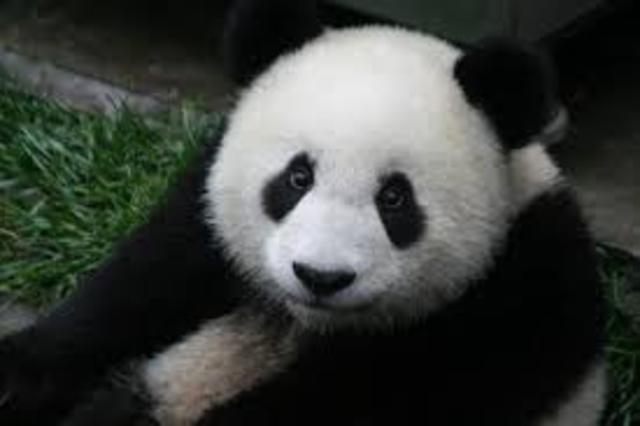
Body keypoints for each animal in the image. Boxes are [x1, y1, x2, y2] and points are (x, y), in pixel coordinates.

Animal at [0, 0, 605, 425]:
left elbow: (353, 401)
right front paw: (17, 377)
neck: (305, 320)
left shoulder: (507, 305)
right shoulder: (206, 215)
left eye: (395, 198)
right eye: (297, 178)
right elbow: (139, 284)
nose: (321, 276)